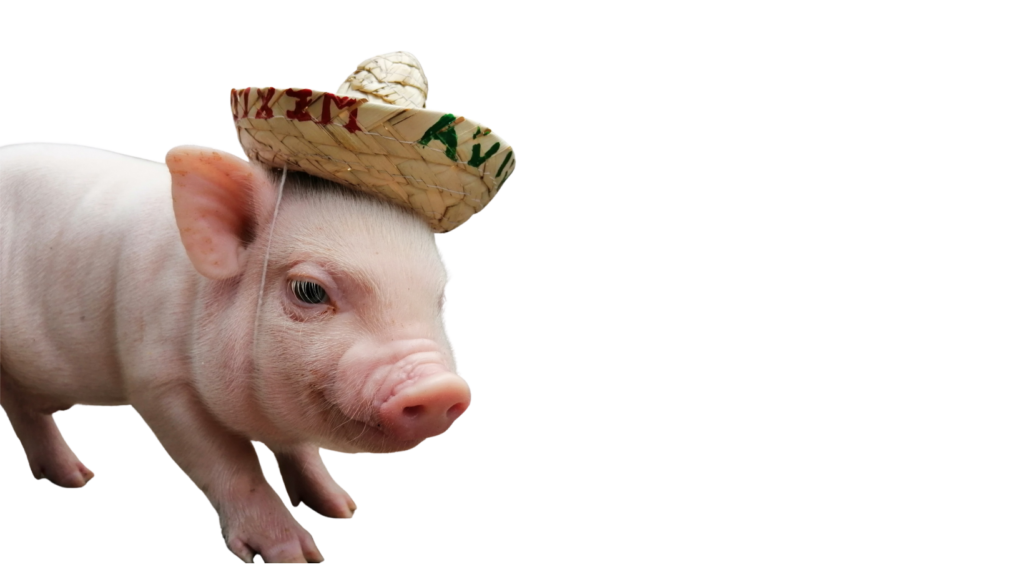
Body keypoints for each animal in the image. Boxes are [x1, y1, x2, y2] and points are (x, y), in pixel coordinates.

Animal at [0, 141, 472, 563]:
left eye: (443, 296)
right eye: (309, 290)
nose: (439, 389)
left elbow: (300, 450)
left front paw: (344, 509)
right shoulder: (158, 381)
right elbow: (230, 462)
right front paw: (296, 557)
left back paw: (76, 479)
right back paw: (81, 479)